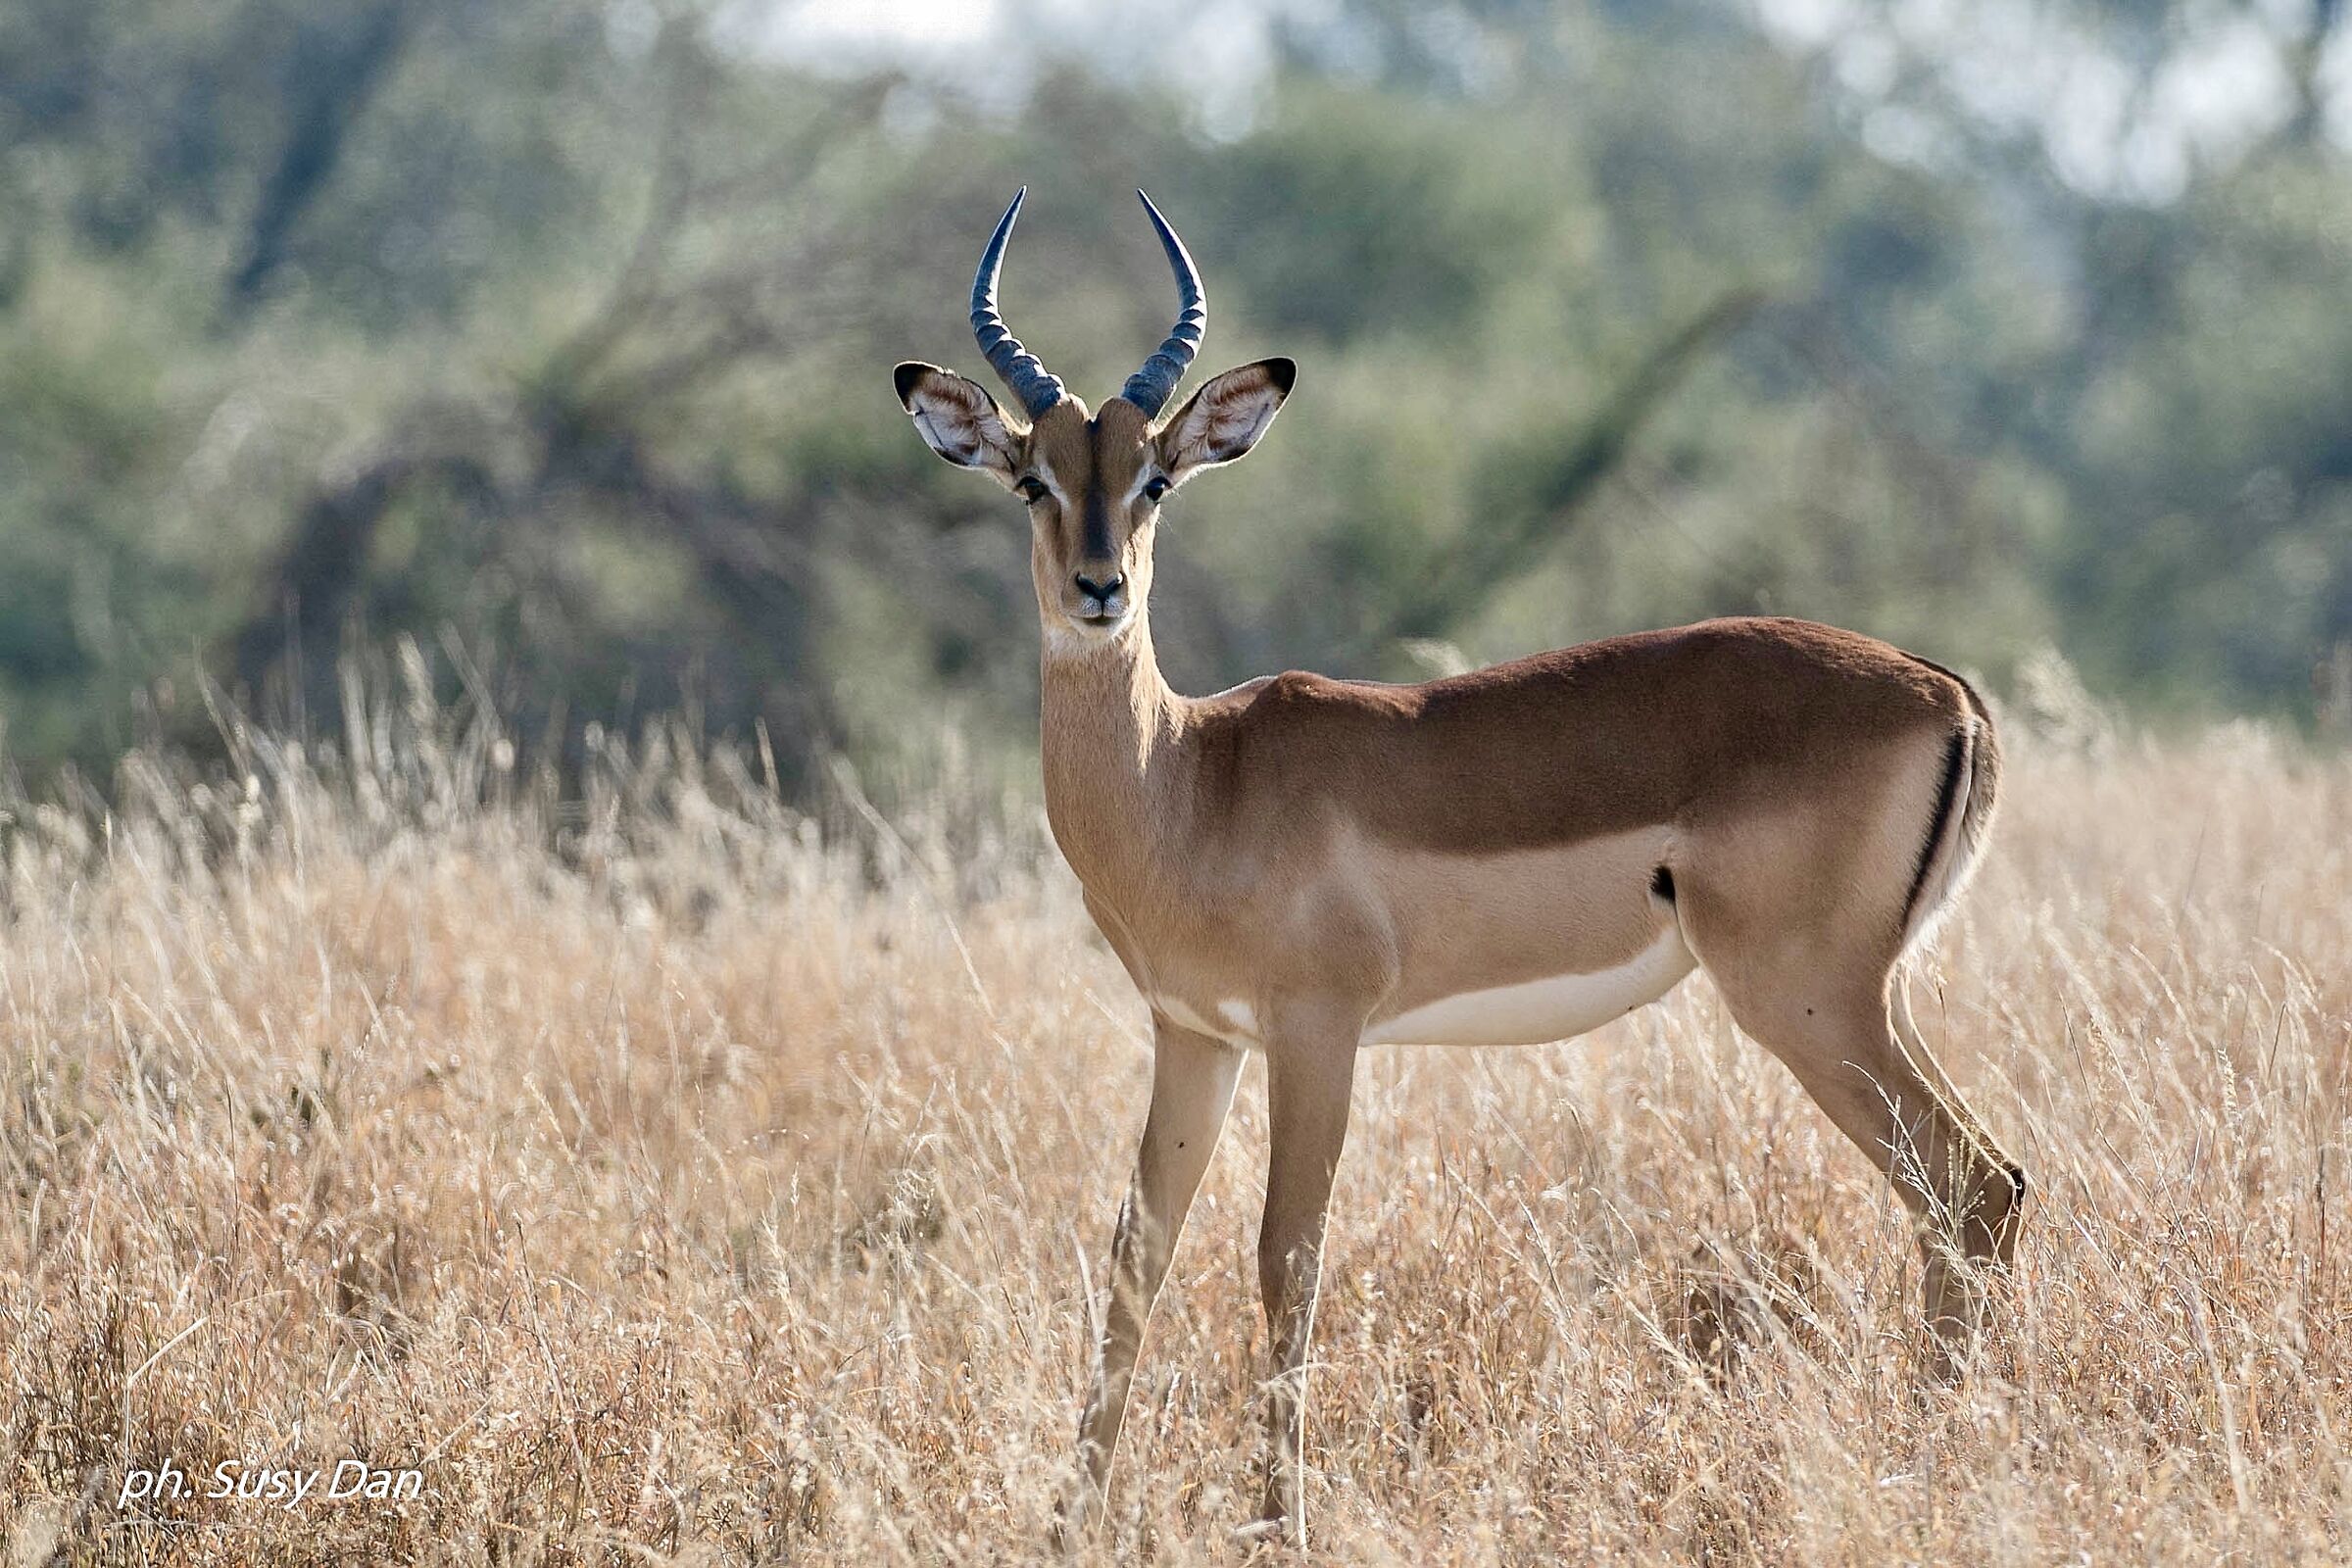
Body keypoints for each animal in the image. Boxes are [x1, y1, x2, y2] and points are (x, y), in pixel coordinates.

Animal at [893, 189, 2026, 1546]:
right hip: (1864, 996)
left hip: (1806, 999)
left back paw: (1932, 1469)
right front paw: (1069, 1525)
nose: (1099, 589)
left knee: (1969, 1188)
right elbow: (1137, 1258)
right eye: (1033, 481)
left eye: (1155, 478)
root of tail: (1947, 690)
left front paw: (1282, 1526)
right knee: (1980, 1191)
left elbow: (1287, 1257)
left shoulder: (1316, 1031)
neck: (1192, 777)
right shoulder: (1197, 1034)